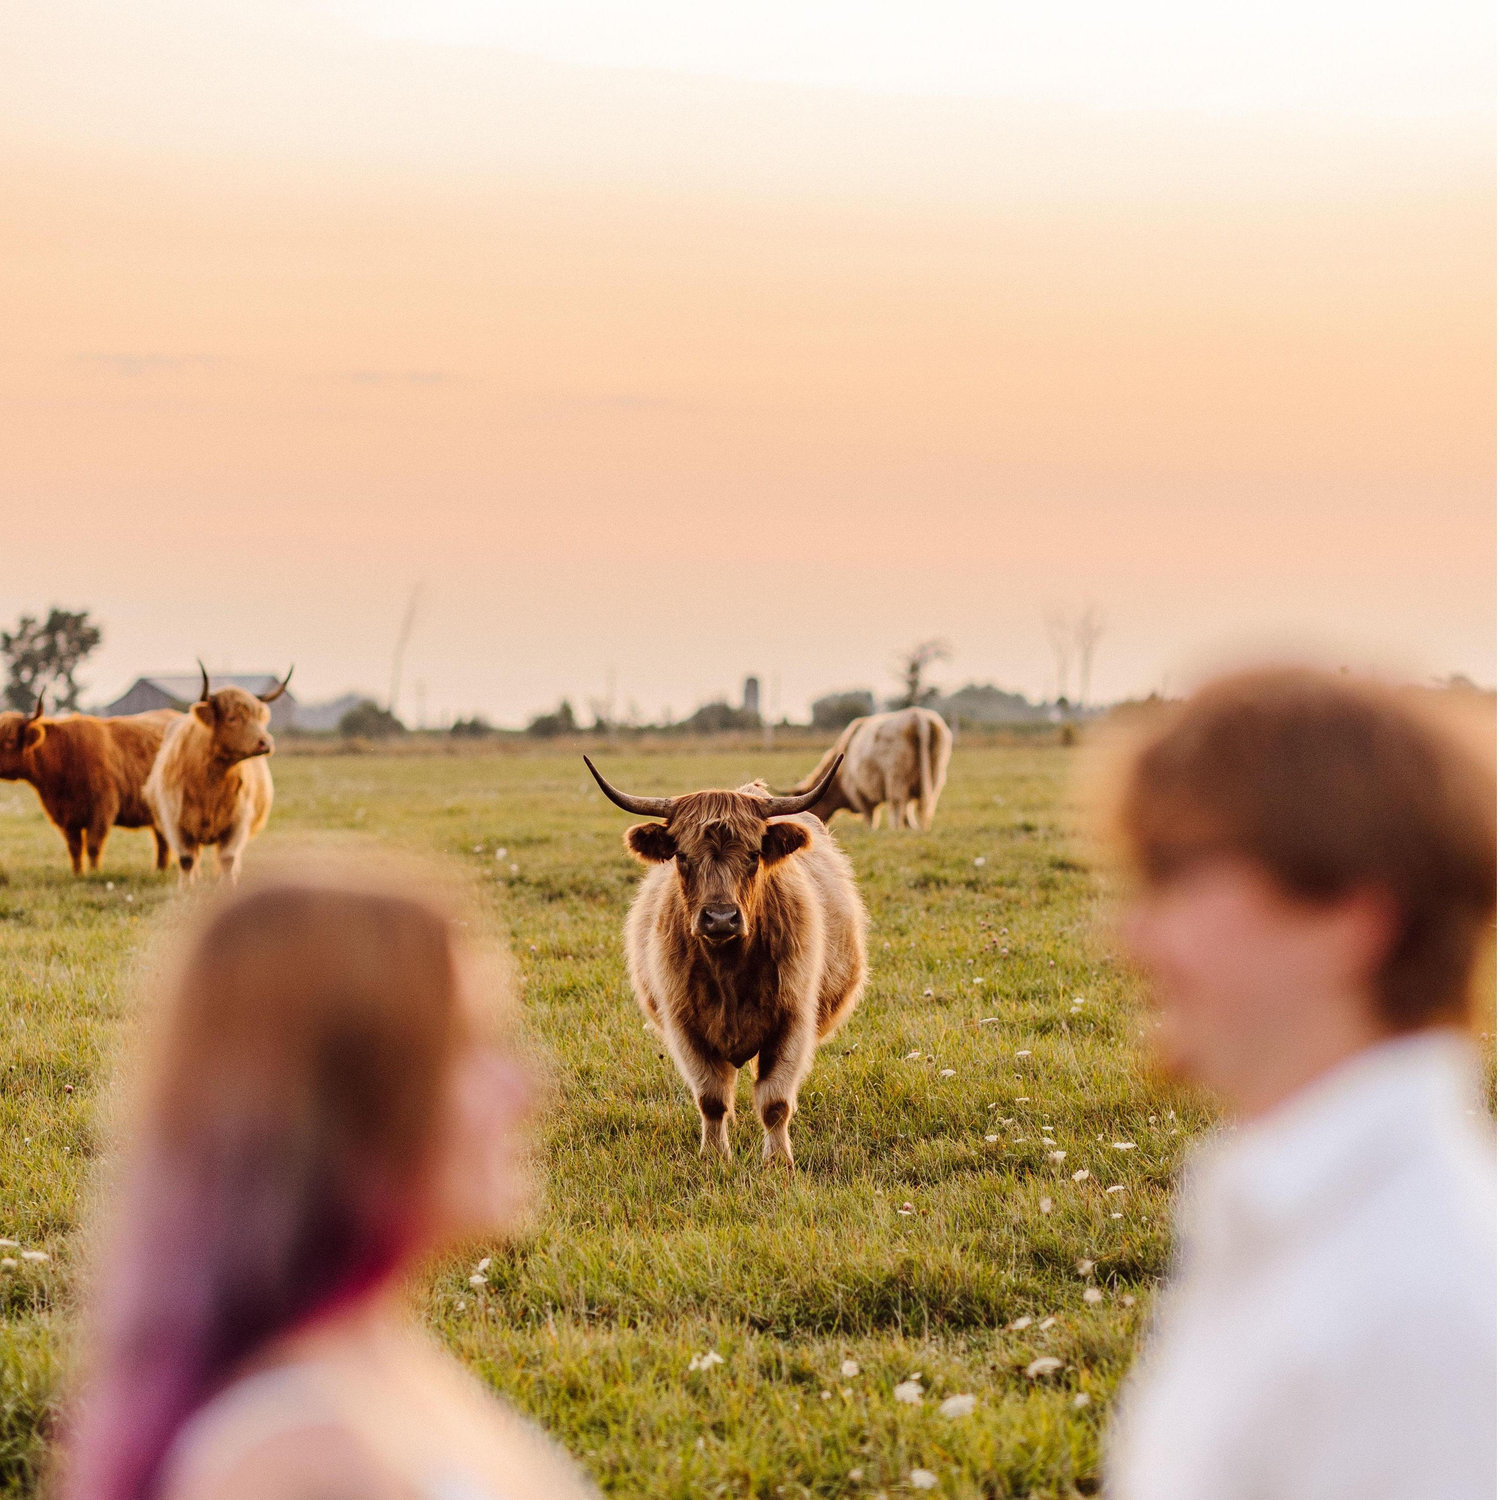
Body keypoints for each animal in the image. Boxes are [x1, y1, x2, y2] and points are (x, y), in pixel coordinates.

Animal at [0, 697, 181, 873]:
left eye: (10, 740)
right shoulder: (66, 816)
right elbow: (74, 848)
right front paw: (77, 874)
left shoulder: (102, 809)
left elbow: (93, 845)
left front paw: (94, 873)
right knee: (162, 839)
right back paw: (159, 869)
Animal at [145, 664, 290, 884]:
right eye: (232, 718)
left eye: (259, 718)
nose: (266, 743)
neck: (211, 780)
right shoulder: (176, 822)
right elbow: (186, 859)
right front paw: (186, 889)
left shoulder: (238, 822)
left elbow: (228, 858)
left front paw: (228, 886)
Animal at [585, 753, 867, 1168]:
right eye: (682, 856)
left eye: (753, 856)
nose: (720, 918)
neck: (729, 971)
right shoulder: (685, 1026)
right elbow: (712, 1098)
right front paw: (715, 1157)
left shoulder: (793, 1022)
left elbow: (774, 1101)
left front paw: (778, 1163)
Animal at [789, 706, 953, 830]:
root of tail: (916, 715)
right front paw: (911, 827)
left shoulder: (858, 792)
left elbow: (870, 816)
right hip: (935, 776)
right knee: (922, 804)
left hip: (896, 778)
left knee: (897, 804)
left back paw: (896, 828)